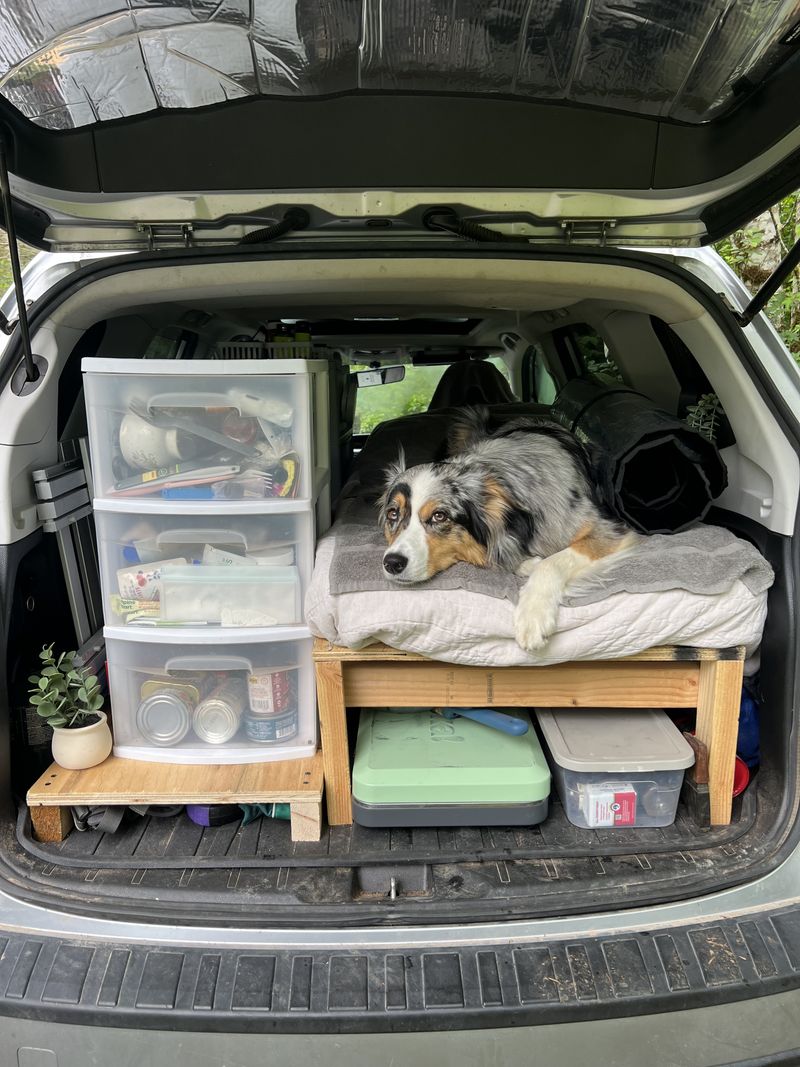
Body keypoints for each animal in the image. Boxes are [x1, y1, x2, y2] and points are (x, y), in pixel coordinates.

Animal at [379, 409, 640, 648]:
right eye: (393, 514)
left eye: (439, 516)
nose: (392, 563)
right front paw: (526, 563)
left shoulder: (605, 529)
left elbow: (551, 562)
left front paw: (533, 615)